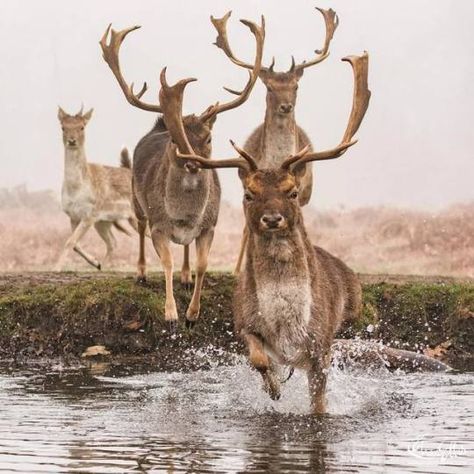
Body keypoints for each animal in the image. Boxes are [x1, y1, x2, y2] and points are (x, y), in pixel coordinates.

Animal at [55, 106, 138, 272]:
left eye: (82, 126)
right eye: (63, 127)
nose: (71, 140)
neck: (76, 189)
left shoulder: (89, 215)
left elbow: (70, 242)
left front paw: (56, 268)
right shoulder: (74, 215)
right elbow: (75, 244)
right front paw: (95, 262)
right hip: (104, 222)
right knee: (113, 242)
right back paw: (102, 266)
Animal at [100, 16, 264, 332]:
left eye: (209, 137)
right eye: (176, 141)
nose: (193, 164)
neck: (184, 216)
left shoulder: (210, 225)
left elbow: (202, 264)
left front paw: (192, 314)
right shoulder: (159, 225)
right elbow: (166, 262)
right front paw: (171, 314)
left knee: (185, 250)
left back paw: (186, 278)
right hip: (136, 200)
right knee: (139, 228)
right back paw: (141, 272)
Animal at [177, 52, 370, 414]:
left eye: (291, 191)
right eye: (248, 194)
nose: (272, 219)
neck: (286, 322)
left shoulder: (320, 342)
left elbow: (319, 404)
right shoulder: (245, 321)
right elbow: (259, 359)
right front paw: (275, 390)